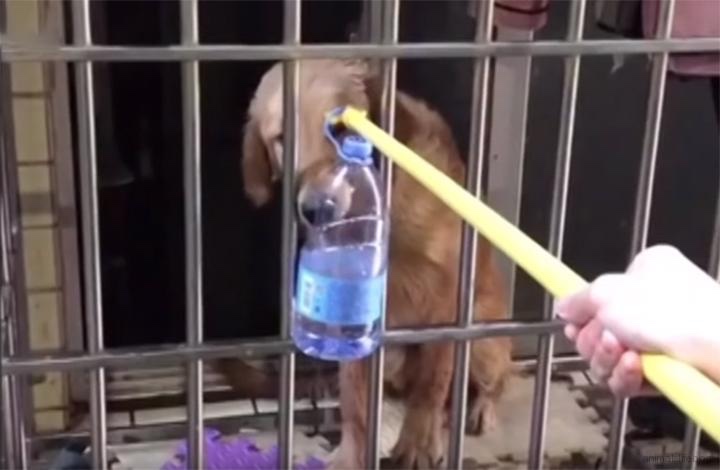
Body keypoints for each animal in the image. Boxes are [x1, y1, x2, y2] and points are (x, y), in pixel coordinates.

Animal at [239, 59, 516, 470]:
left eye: (342, 128)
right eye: (280, 138)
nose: (315, 209)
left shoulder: (446, 304)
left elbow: (433, 384)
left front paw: (418, 444)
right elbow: (356, 407)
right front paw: (351, 454)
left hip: (485, 344)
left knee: (492, 382)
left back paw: (478, 409)